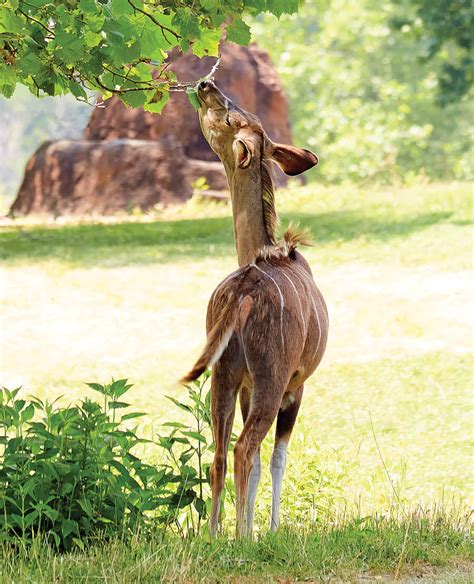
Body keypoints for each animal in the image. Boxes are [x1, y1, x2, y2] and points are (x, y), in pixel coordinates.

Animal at [182, 80, 330, 536]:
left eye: (232, 115)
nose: (206, 85)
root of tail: (242, 292)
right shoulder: (295, 385)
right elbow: (277, 458)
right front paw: (271, 529)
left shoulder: (249, 384)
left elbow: (265, 460)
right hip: (269, 379)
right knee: (244, 449)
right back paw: (242, 537)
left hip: (224, 377)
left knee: (219, 453)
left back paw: (214, 536)